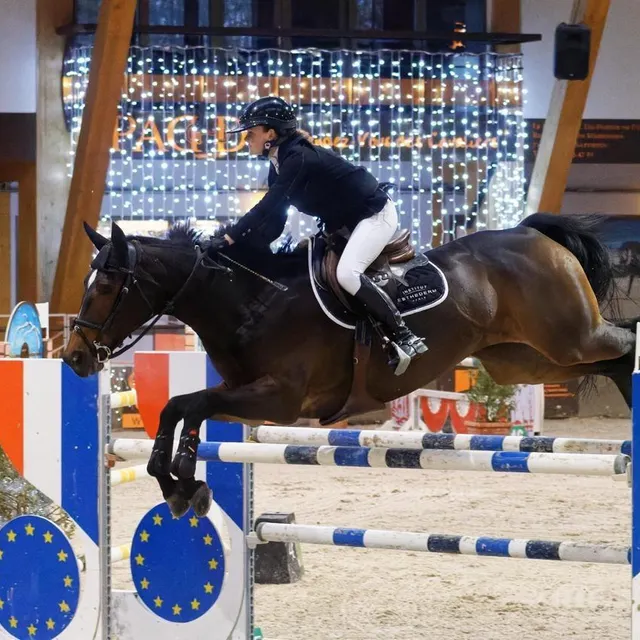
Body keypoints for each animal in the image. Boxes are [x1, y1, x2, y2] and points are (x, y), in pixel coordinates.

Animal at [62, 212, 637, 519]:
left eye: (107, 285)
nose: (73, 357)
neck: (252, 301)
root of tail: (533, 233)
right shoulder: (242, 391)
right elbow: (180, 409)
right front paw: (180, 486)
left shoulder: (279, 399)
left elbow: (190, 404)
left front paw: (183, 479)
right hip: (526, 361)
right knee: (609, 361)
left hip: (570, 339)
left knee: (624, 346)